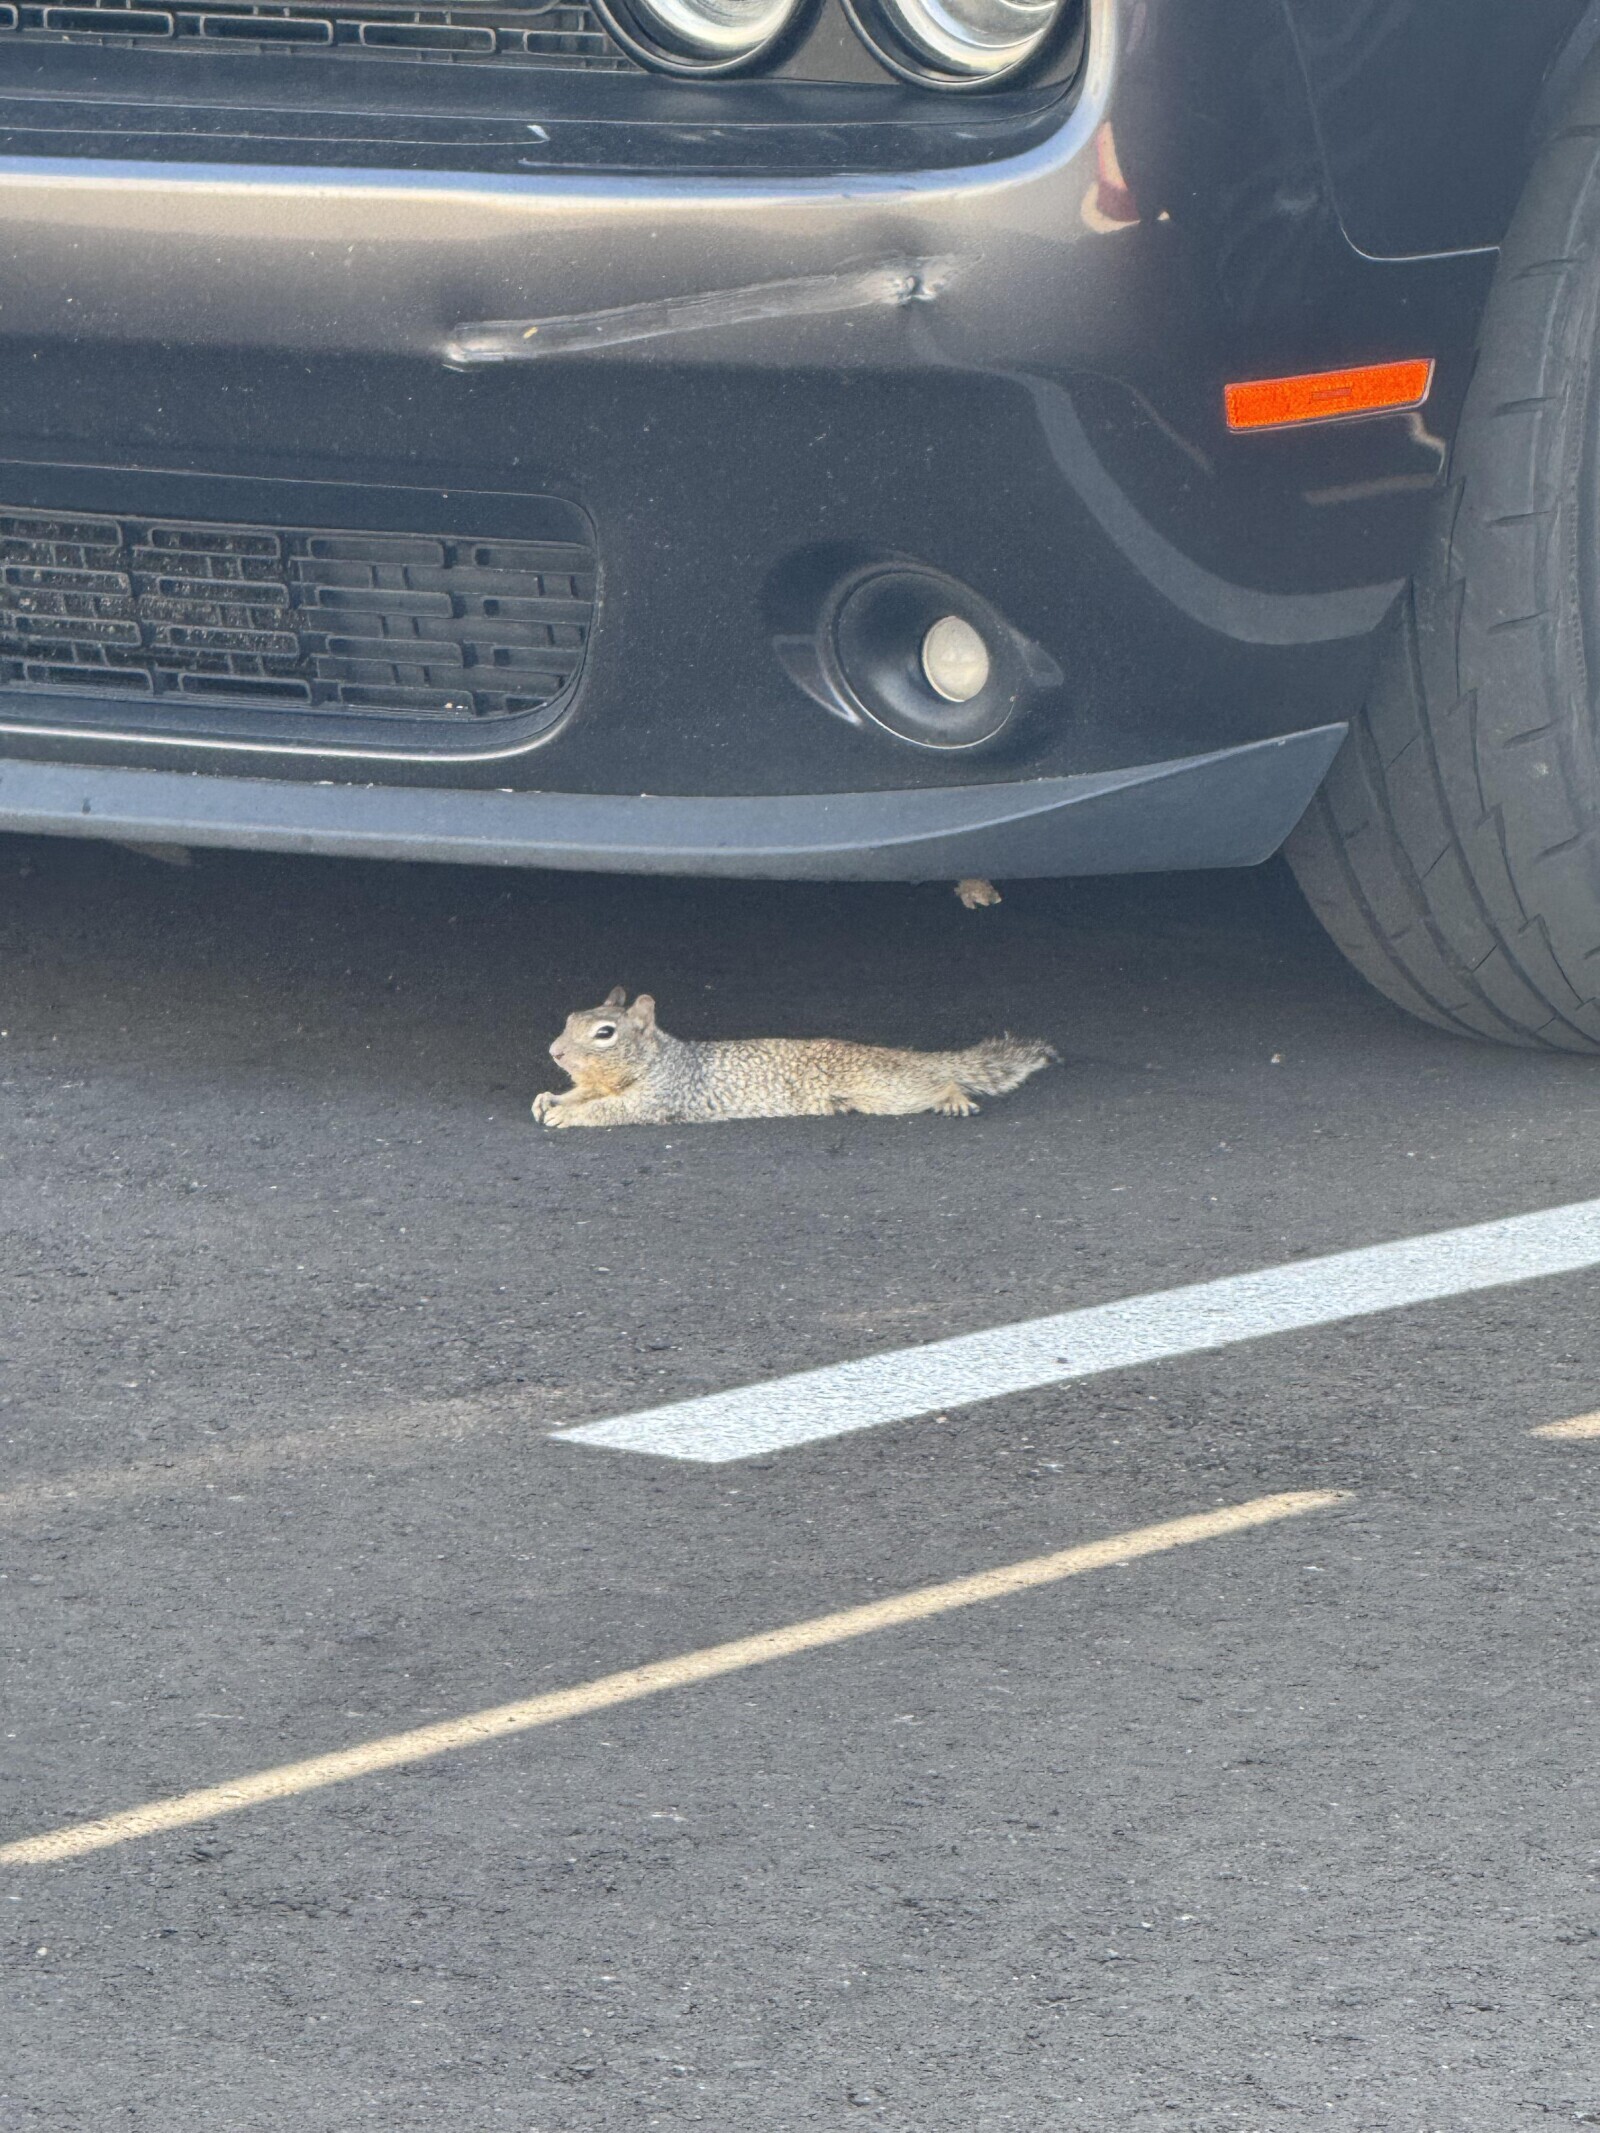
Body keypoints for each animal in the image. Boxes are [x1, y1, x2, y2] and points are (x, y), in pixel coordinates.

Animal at [532, 988, 1057, 1128]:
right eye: (571, 1016)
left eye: (604, 1033)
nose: (554, 1051)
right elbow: (580, 1094)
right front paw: (550, 1100)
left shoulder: (660, 1096)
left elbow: (611, 1109)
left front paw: (567, 1117)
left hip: (885, 1090)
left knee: (935, 1084)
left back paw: (953, 1097)